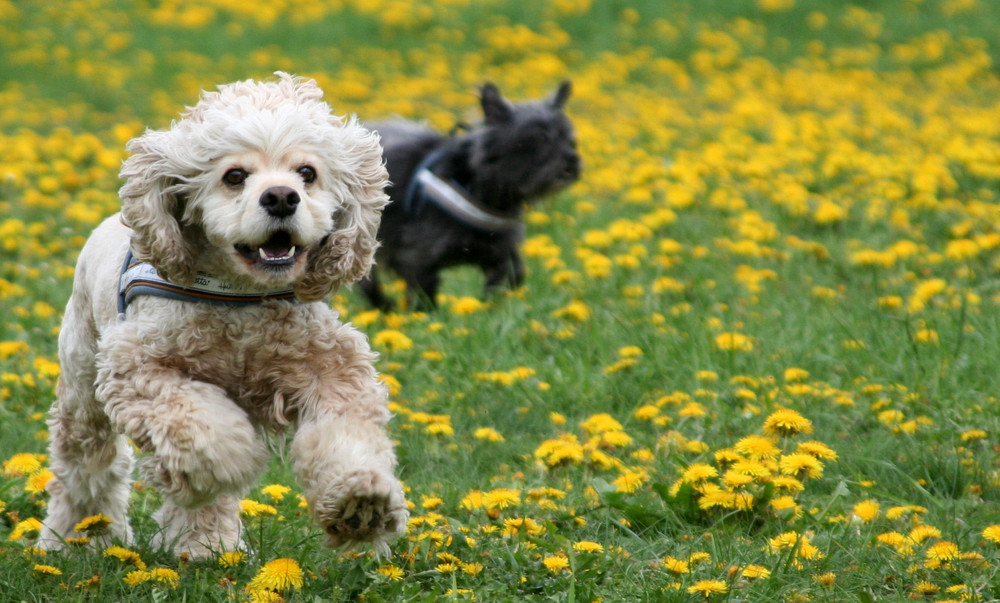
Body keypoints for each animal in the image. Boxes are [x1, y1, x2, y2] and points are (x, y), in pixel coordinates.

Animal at [39, 73, 406, 560]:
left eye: (307, 173)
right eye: (234, 177)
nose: (281, 197)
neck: (242, 301)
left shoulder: (330, 368)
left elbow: (344, 431)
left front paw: (360, 501)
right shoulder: (138, 368)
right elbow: (205, 433)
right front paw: (237, 458)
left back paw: (204, 547)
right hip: (82, 378)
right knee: (86, 461)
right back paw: (77, 540)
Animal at [362, 81, 584, 312]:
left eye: (570, 140)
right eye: (540, 138)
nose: (573, 159)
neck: (477, 187)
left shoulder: (500, 252)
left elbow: (510, 275)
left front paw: (489, 306)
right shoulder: (418, 257)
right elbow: (424, 293)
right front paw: (425, 316)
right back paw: (382, 305)